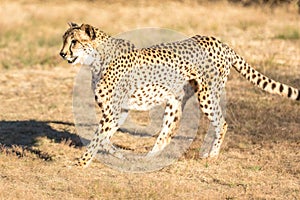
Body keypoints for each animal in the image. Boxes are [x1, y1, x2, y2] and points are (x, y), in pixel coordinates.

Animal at [59, 22, 298, 167]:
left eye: (74, 42)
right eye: (64, 40)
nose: (62, 53)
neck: (96, 59)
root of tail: (219, 42)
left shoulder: (114, 110)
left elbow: (98, 137)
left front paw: (81, 163)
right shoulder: (120, 109)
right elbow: (104, 137)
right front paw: (117, 154)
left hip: (207, 96)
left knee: (222, 122)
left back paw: (212, 155)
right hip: (175, 102)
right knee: (167, 132)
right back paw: (148, 159)